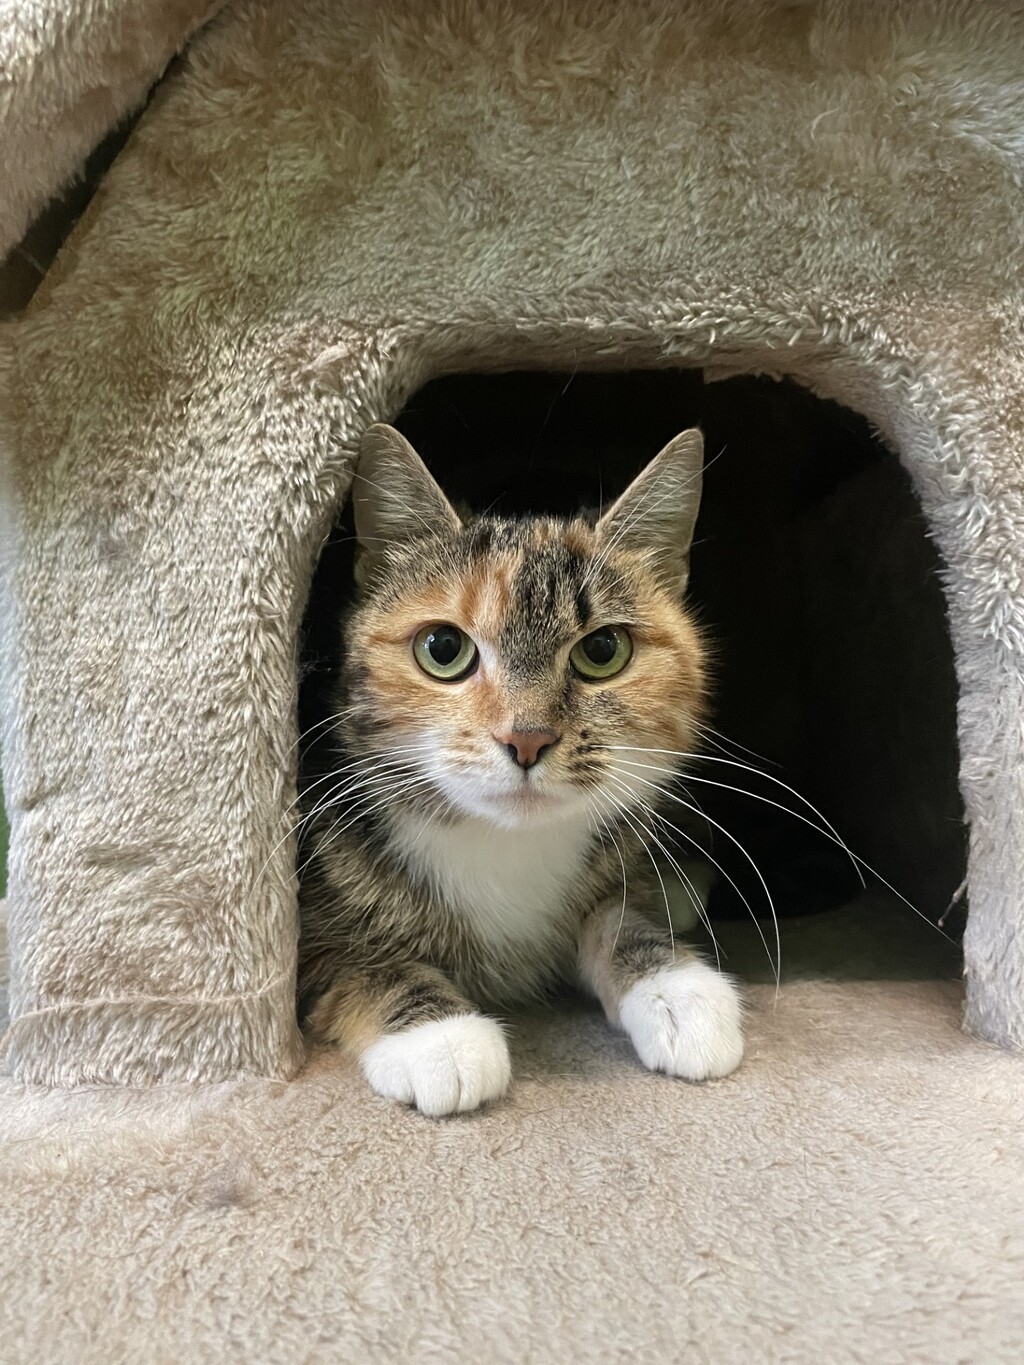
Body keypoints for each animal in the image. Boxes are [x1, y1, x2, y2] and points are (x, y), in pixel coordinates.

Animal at [297, 422, 744, 1115]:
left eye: (603, 650)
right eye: (443, 649)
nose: (527, 739)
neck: (503, 844)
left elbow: (616, 915)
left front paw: (677, 987)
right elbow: (354, 959)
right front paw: (439, 1038)